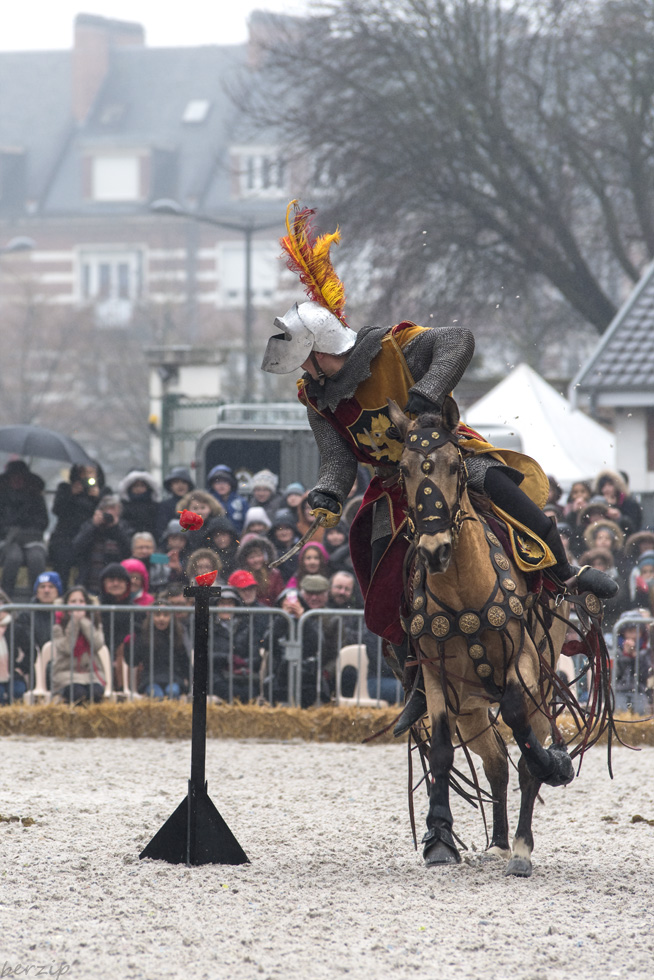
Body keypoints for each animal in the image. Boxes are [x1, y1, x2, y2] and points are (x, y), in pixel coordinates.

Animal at [390, 394, 576, 876]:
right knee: (494, 763)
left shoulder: (523, 665)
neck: (463, 591)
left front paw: (554, 765)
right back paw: (498, 843)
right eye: (405, 470)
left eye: (456, 466)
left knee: (525, 753)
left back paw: (522, 846)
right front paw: (439, 841)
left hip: (541, 687)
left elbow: (517, 721)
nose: (435, 550)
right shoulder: (437, 678)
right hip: (471, 711)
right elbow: (440, 749)